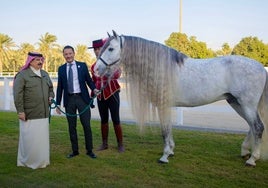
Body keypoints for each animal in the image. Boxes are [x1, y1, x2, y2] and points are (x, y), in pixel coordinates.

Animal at [94, 30, 268, 166]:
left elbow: (164, 130)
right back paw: (245, 152)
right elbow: (168, 128)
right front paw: (170, 151)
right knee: (251, 127)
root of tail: (261, 67)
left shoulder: (162, 105)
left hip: (247, 105)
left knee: (258, 127)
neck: (160, 67)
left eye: (111, 48)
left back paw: (252, 159)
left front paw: (164, 156)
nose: (95, 69)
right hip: (236, 103)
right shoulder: (165, 105)